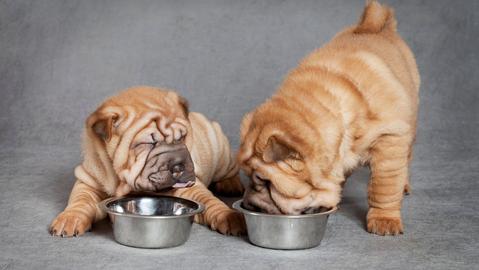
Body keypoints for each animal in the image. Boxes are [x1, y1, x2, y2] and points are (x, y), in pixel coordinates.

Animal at [50, 86, 246, 236]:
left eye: (182, 137)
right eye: (150, 143)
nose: (179, 165)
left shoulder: (191, 188)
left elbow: (208, 200)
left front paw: (229, 216)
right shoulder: (88, 180)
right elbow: (80, 200)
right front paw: (69, 219)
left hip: (221, 150)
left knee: (229, 170)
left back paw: (230, 184)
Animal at [239, 1, 420, 235]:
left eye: (263, 181)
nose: (248, 204)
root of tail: (375, 26)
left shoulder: (390, 139)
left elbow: (384, 187)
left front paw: (384, 220)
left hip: (410, 125)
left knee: (405, 160)